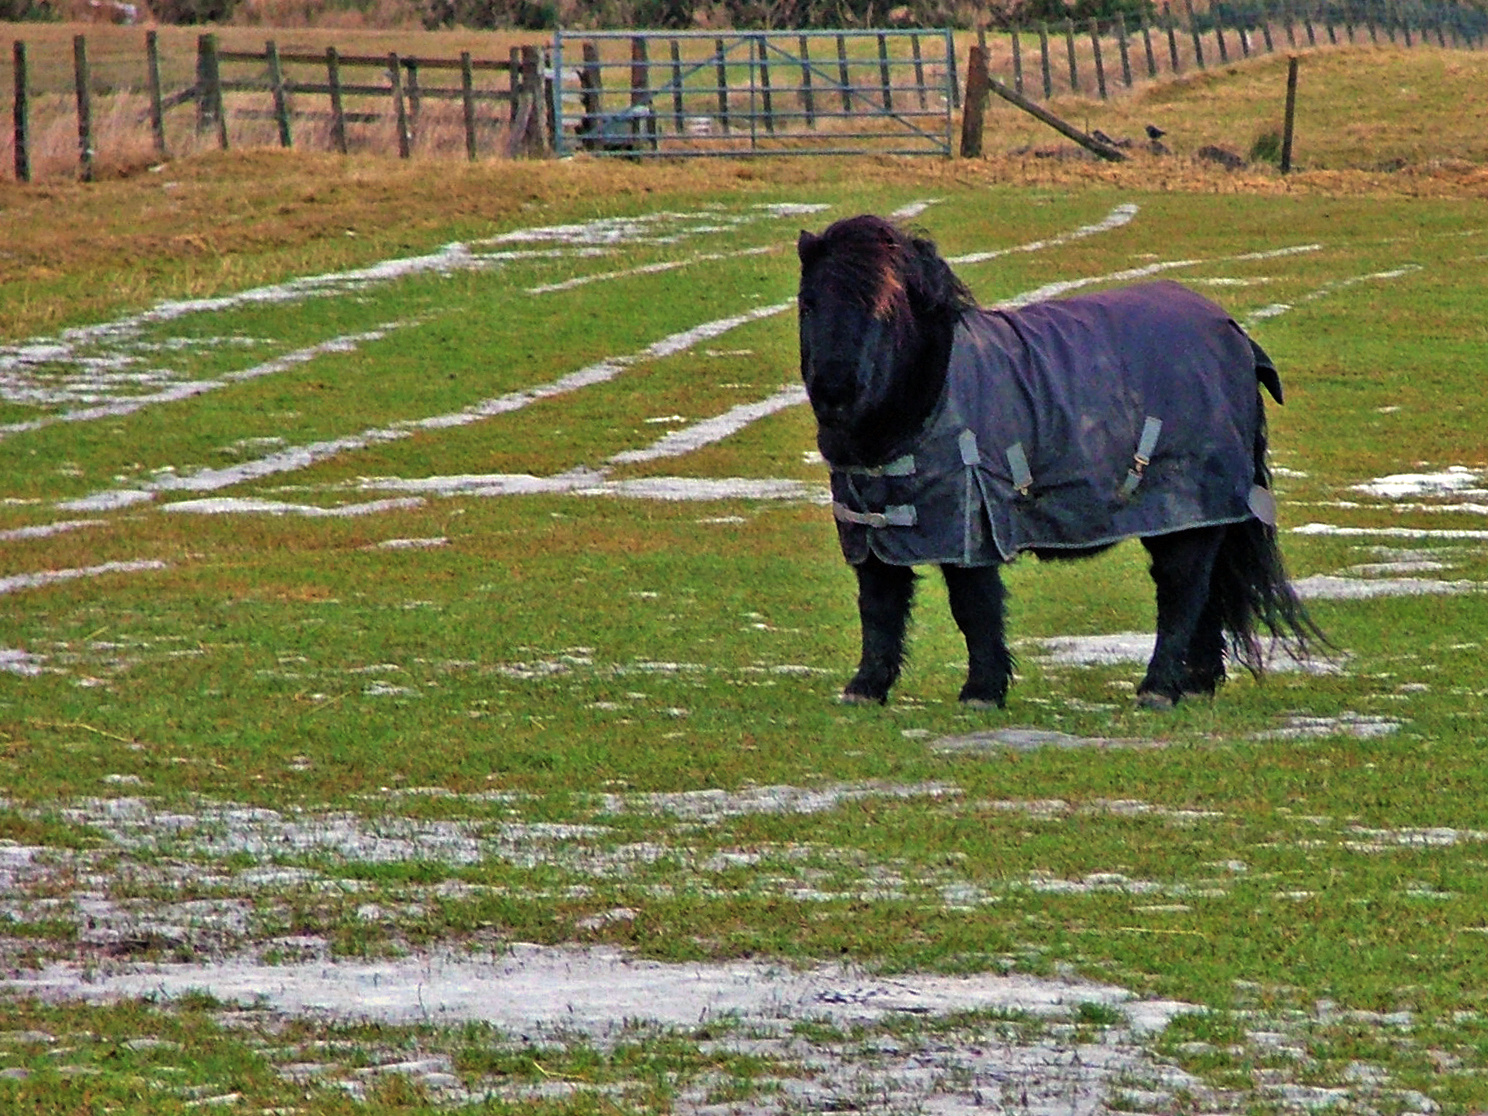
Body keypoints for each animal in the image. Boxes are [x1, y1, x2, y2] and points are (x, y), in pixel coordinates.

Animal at [797, 214, 1321, 711]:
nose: (834, 392)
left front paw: (982, 691)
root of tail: (1235, 336)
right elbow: (879, 607)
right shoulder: (870, 529)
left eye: (884, 309)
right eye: (808, 303)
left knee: (1182, 591)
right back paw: (1193, 685)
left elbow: (973, 606)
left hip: (1186, 508)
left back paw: (1158, 689)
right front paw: (866, 688)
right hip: (1186, 518)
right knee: (1204, 594)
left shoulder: (974, 525)